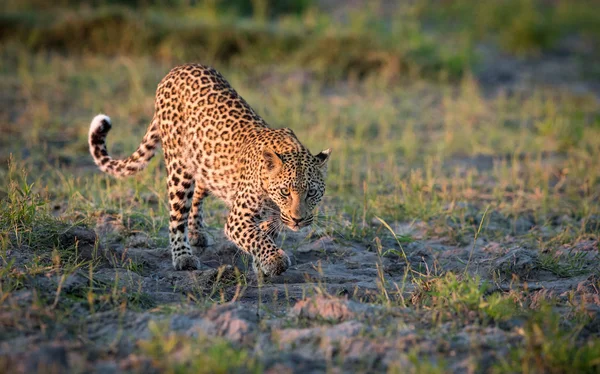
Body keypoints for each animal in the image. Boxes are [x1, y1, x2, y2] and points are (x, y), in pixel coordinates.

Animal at [88, 62, 330, 276]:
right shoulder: (237, 220)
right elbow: (257, 238)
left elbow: (265, 234)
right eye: (285, 192)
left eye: (311, 192)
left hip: (205, 163)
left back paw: (197, 233)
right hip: (179, 167)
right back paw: (183, 257)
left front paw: (262, 263)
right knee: (177, 216)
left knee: (197, 194)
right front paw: (274, 260)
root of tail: (176, 70)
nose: (298, 220)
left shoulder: (271, 218)